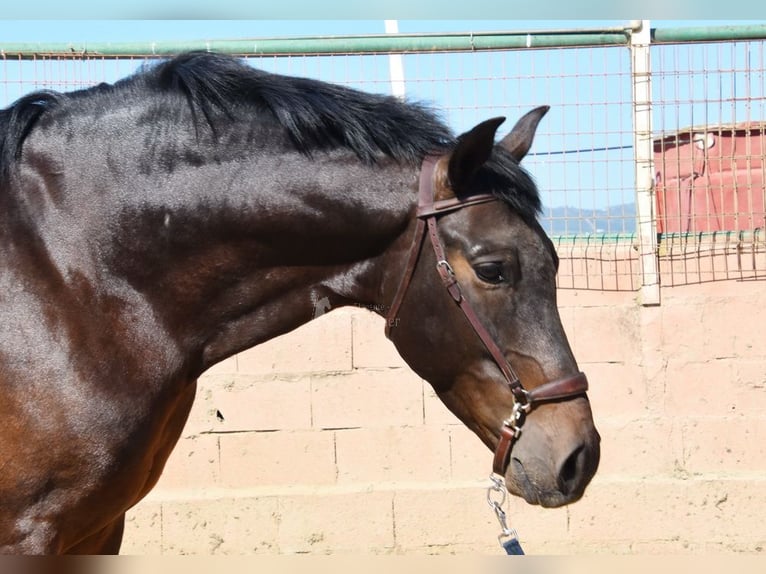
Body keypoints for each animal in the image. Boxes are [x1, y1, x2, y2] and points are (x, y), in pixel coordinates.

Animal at [0, 52, 600, 554]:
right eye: (493, 270)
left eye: (555, 262)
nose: (581, 458)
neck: (71, 274)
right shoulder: (32, 533)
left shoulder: (101, 526)